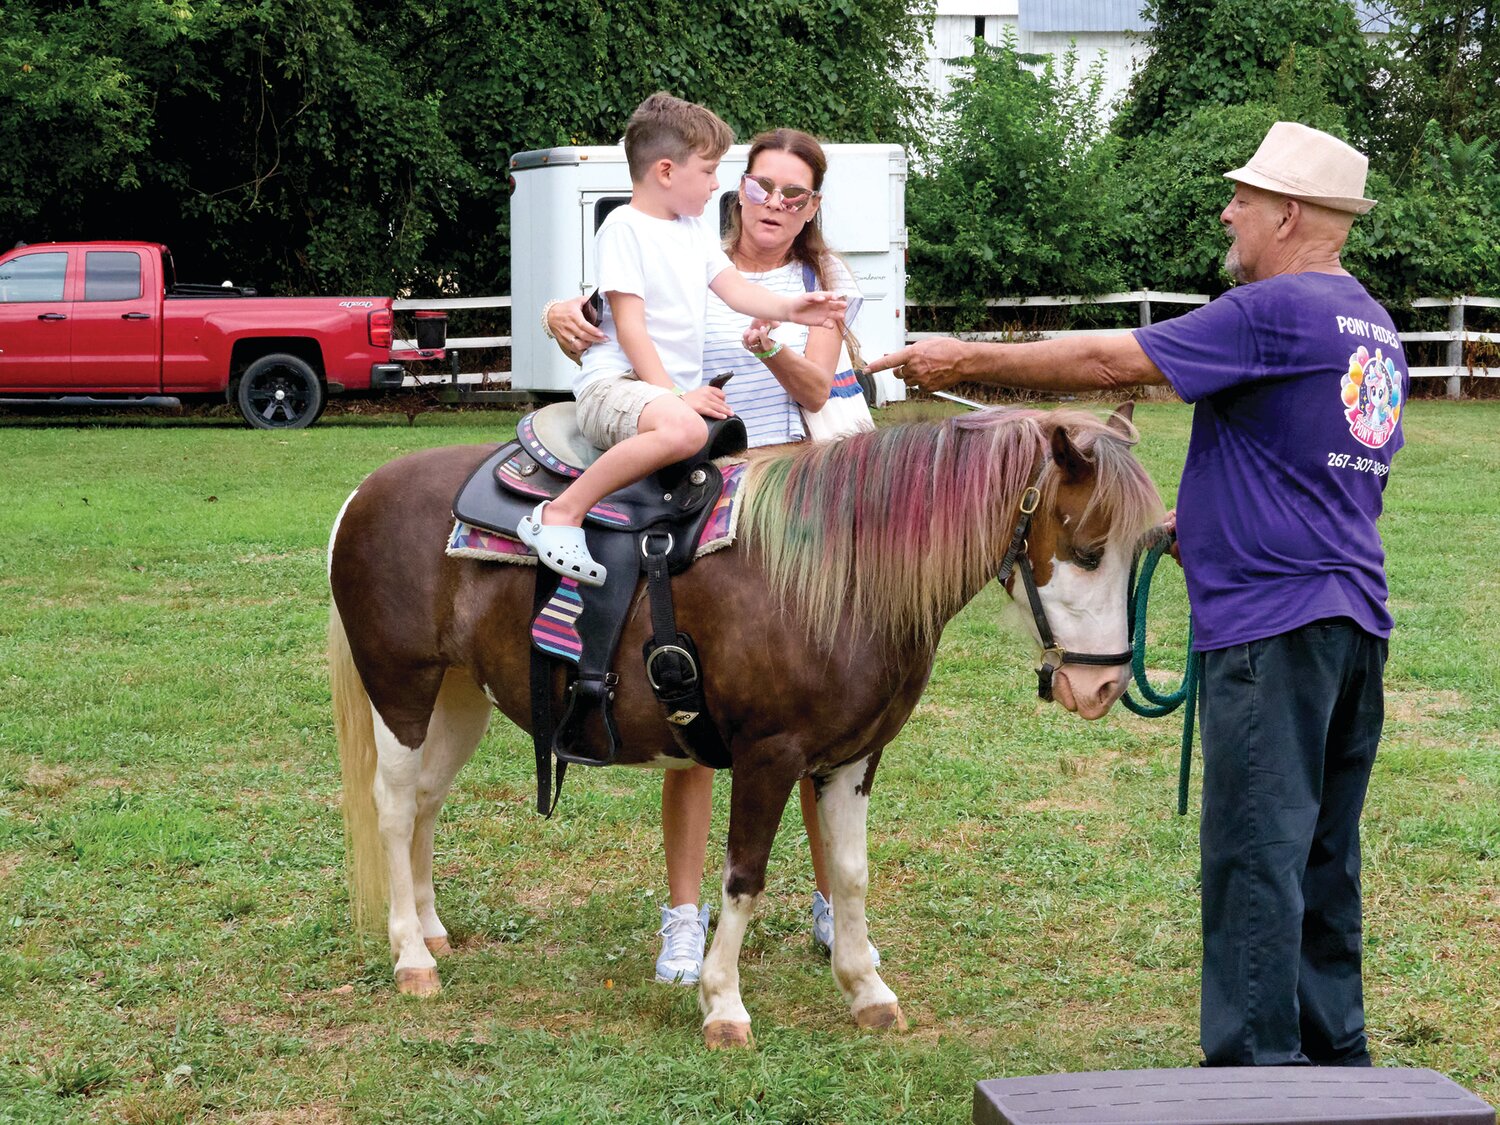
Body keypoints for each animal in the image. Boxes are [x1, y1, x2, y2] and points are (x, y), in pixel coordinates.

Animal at [331, 402, 1158, 1050]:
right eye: (1087, 549)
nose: (1103, 684)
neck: (834, 572)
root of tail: (366, 490)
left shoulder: (854, 758)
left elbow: (849, 872)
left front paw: (865, 989)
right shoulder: (770, 756)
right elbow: (744, 875)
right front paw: (722, 1001)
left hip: (458, 698)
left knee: (426, 806)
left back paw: (432, 930)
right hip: (401, 693)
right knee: (395, 809)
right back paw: (411, 957)